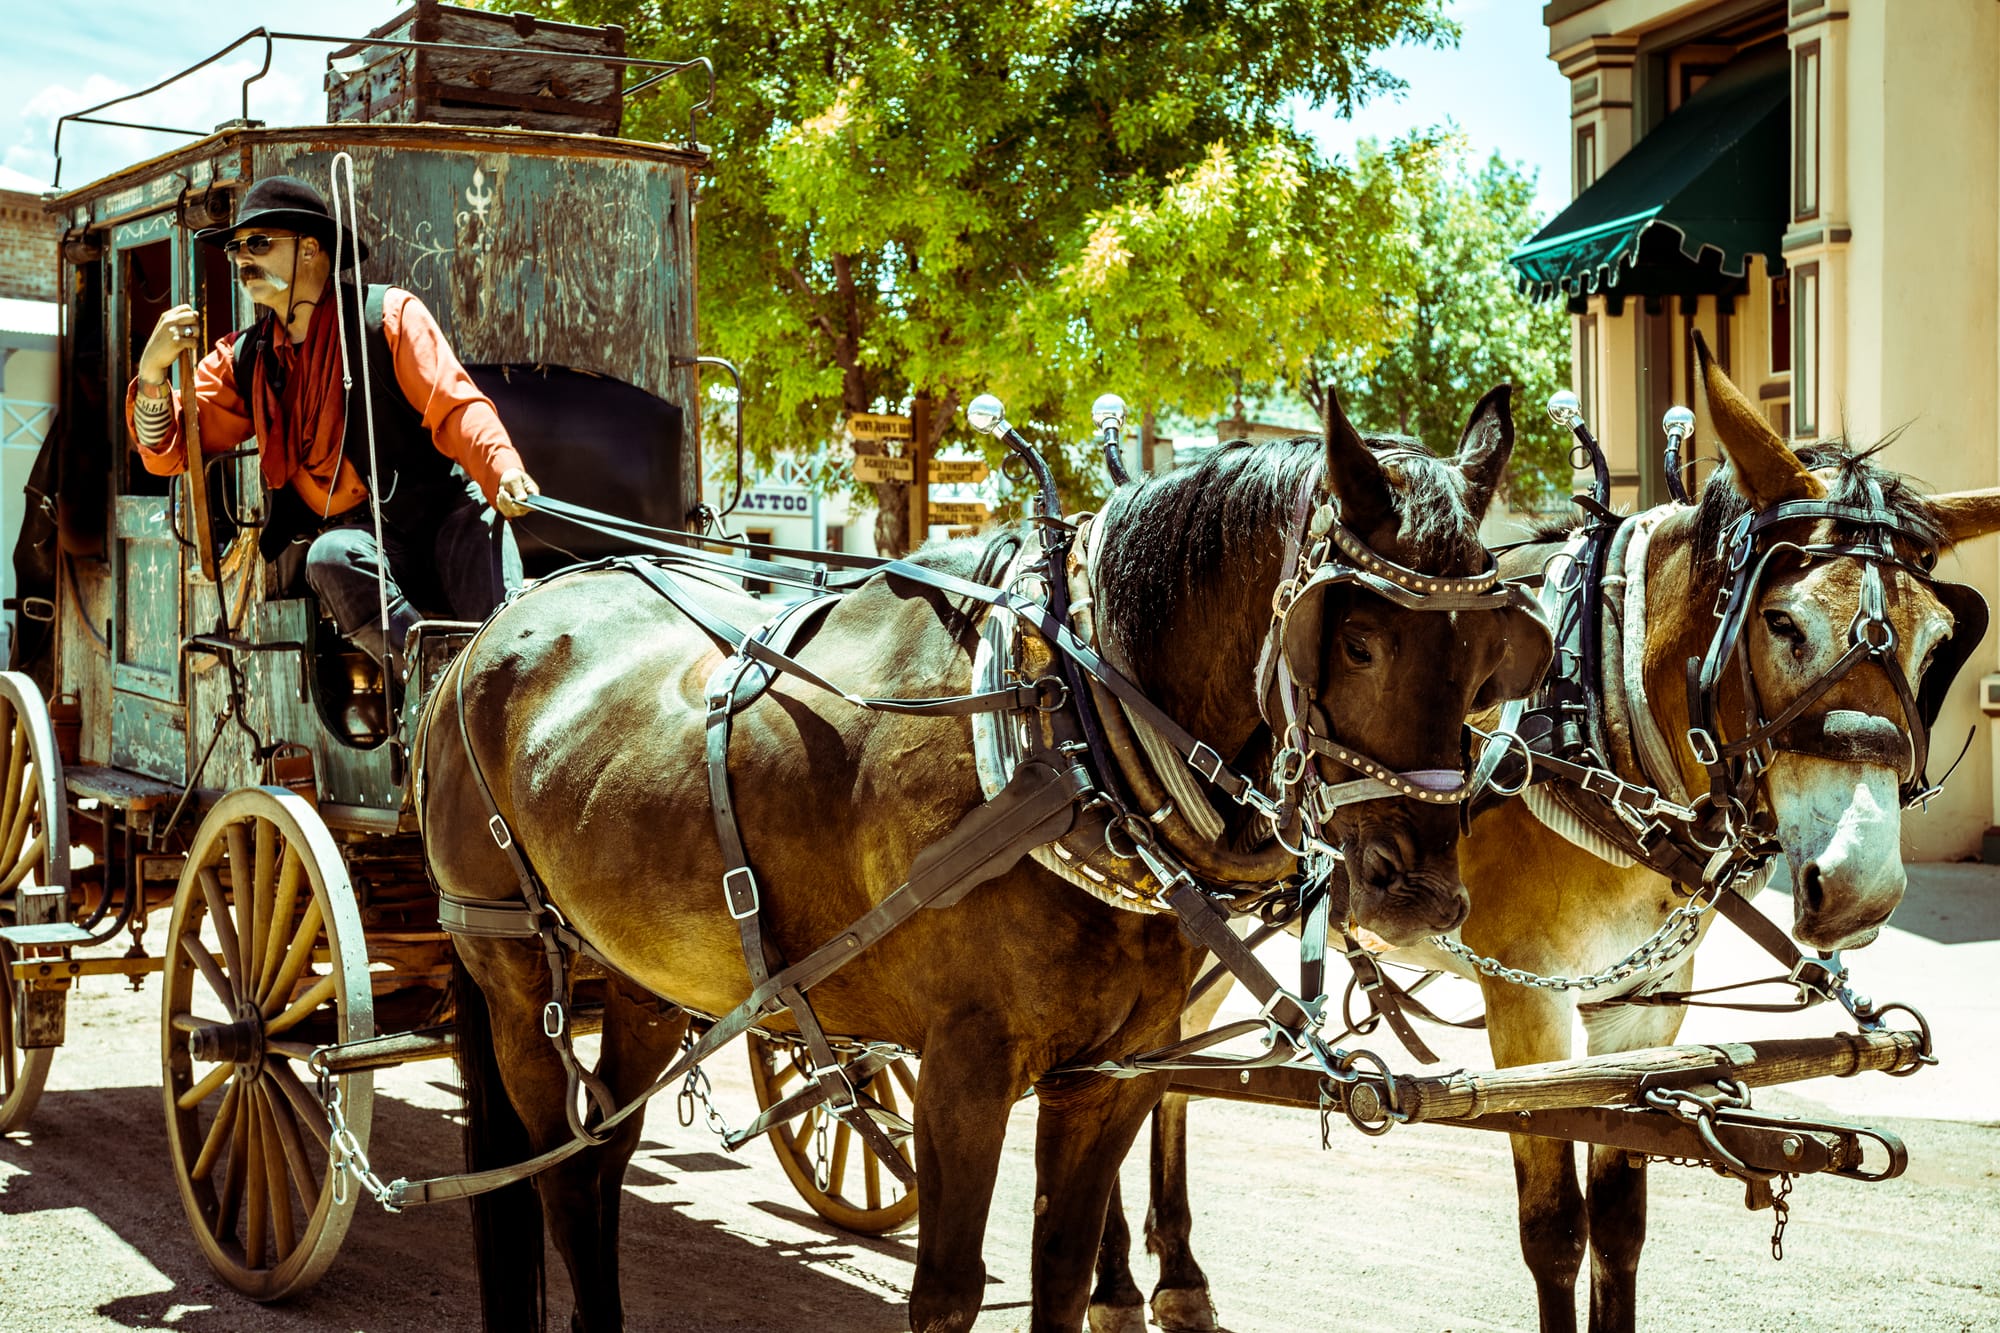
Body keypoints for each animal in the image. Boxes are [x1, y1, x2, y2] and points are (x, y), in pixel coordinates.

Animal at [422, 384, 1536, 1328]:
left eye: (1493, 660)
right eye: (1354, 643)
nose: (1422, 895)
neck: (1072, 737)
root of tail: (497, 626)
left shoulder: (1111, 1074)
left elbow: (1063, 1274)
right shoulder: (965, 1067)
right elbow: (948, 1293)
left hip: (643, 972)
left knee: (602, 1149)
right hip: (513, 969)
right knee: (550, 1161)